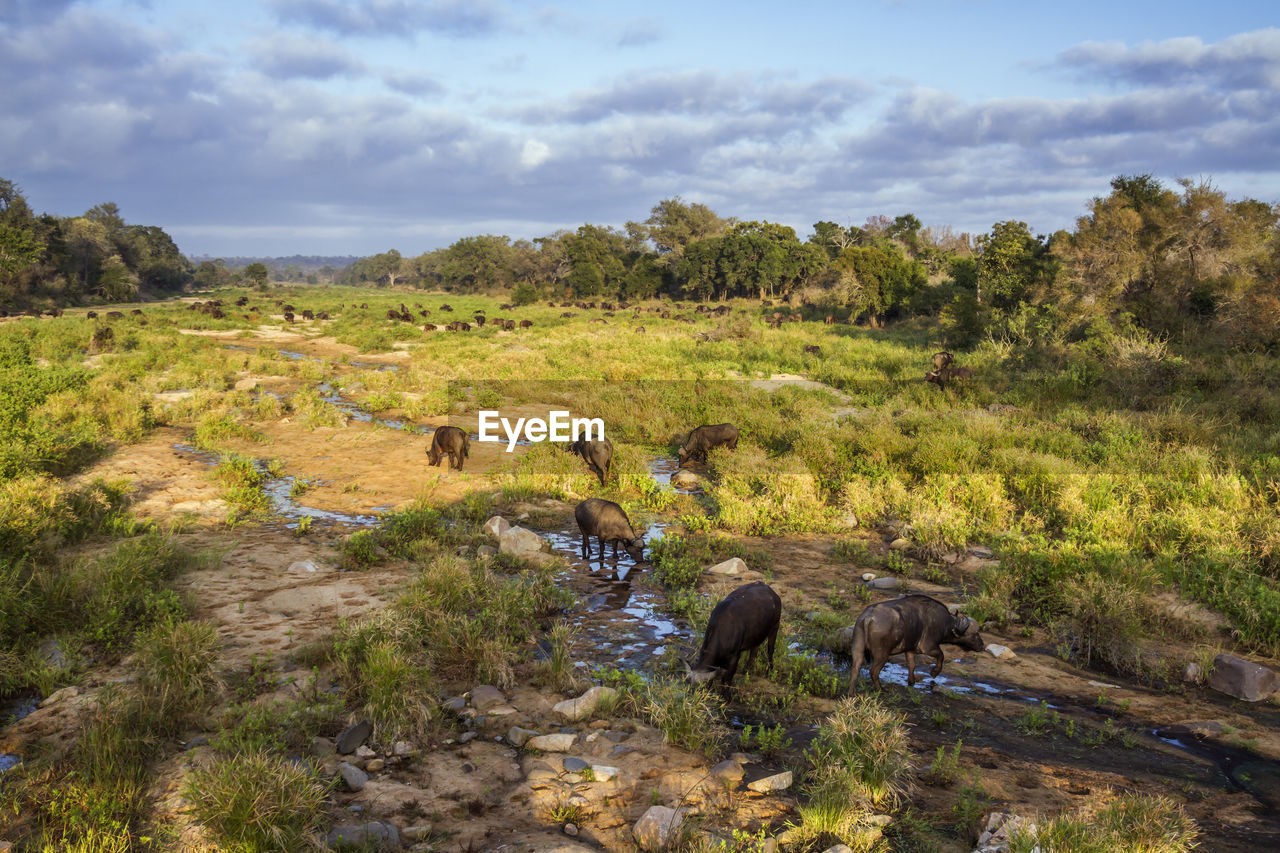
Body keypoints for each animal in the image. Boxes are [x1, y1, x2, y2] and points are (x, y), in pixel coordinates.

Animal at [844, 591, 983, 691]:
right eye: (975, 634)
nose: (982, 645)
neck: (946, 623)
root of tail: (868, 617)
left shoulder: (909, 649)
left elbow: (912, 665)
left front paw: (911, 682)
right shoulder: (928, 647)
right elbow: (941, 656)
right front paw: (934, 672)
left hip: (857, 648)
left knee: (855, 669)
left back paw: (851, 693)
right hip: (882, 654)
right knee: (873, 672)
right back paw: (881, 690)